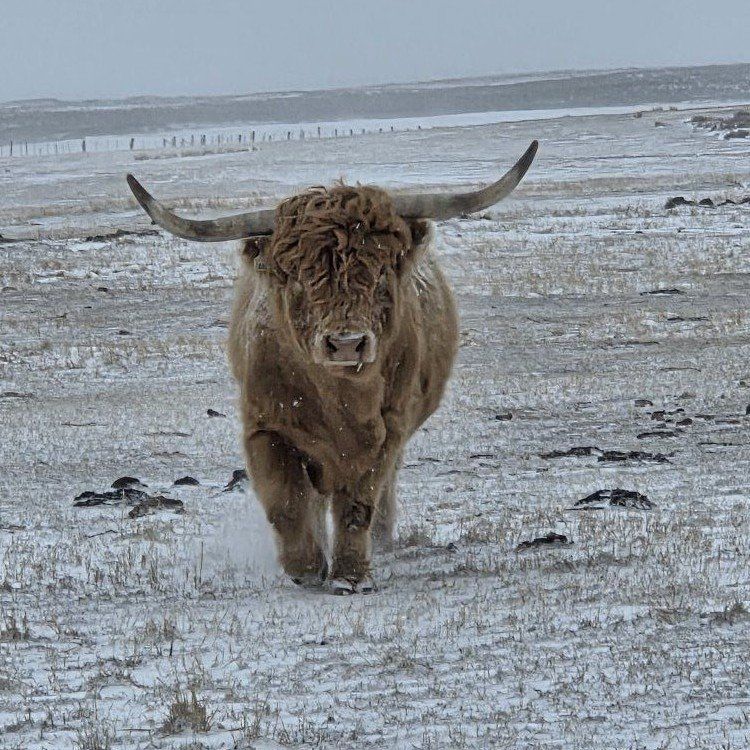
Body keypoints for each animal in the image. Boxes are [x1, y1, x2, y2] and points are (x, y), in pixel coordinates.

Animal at [126, 140, 537, 593]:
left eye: (380, 274)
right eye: (299, 279)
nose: (345, 344)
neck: (339, 401)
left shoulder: (386, 431)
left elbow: (358, 504)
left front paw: (350, 575)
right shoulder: (264, 428)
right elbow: (286, 503)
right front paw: (306, 567)